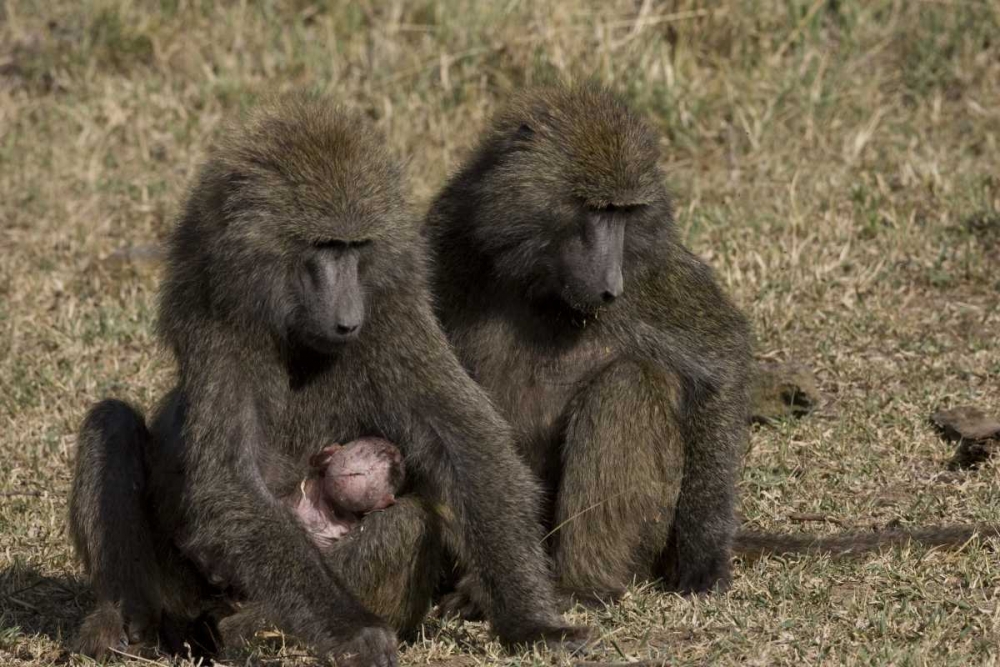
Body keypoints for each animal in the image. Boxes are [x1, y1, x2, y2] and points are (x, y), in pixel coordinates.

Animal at [68, 92, 589, 666]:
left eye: (357, 248)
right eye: (324, 247)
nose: (347, 320)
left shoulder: (393, 315)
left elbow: (466, 446)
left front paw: (533, 623)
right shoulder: (220, 322)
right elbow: (228, 479)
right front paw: (352, 630)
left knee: (407, 522)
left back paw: (246, 629)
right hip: (180, 589)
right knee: (111, 423)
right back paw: (123, 622)